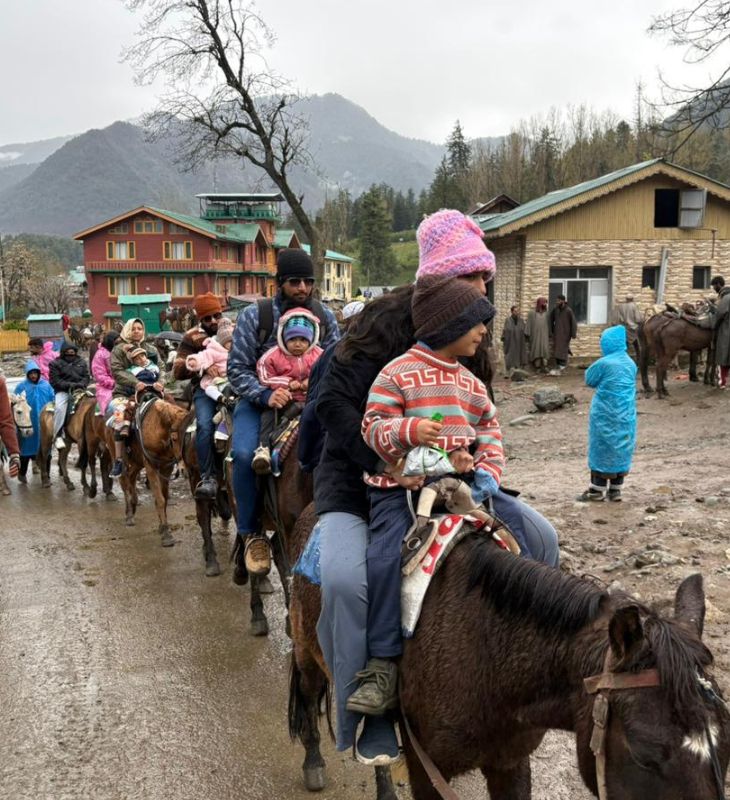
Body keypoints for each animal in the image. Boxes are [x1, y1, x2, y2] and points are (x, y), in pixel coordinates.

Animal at [288, 508, 730, 799]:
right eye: (643, 754)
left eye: (723, 747)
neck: (485, 653)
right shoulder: (426, 768)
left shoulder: (510, 762)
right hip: (309, 654)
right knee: (308, 696)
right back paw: (313, 763)